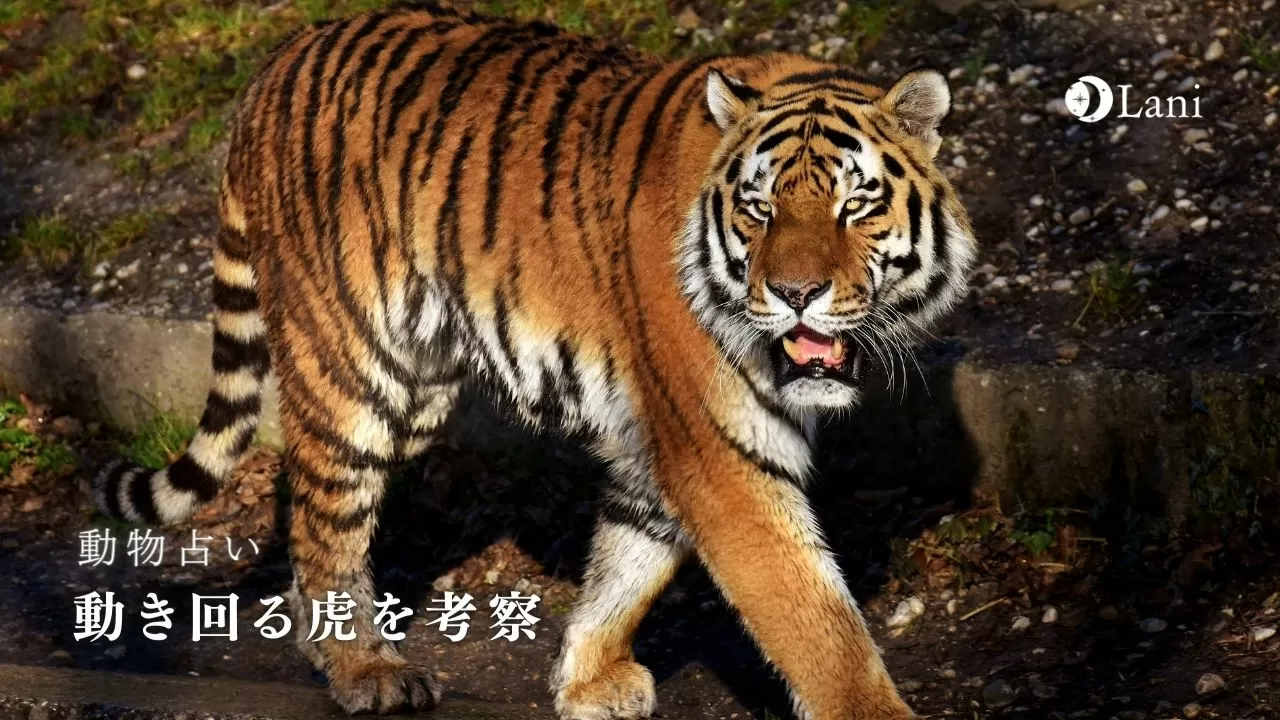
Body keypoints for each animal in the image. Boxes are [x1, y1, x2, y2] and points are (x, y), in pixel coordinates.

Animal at [92, 2, 976, 719]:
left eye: (855, 204)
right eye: (759, 209)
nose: (794, 293)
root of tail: (277, 62)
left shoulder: (660, 441)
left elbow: (628, 561)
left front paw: (586, 680)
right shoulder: (720, 448)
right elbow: (814, 618)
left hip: (419, 388)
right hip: (353, 373)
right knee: (325, 519)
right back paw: (367, 670)